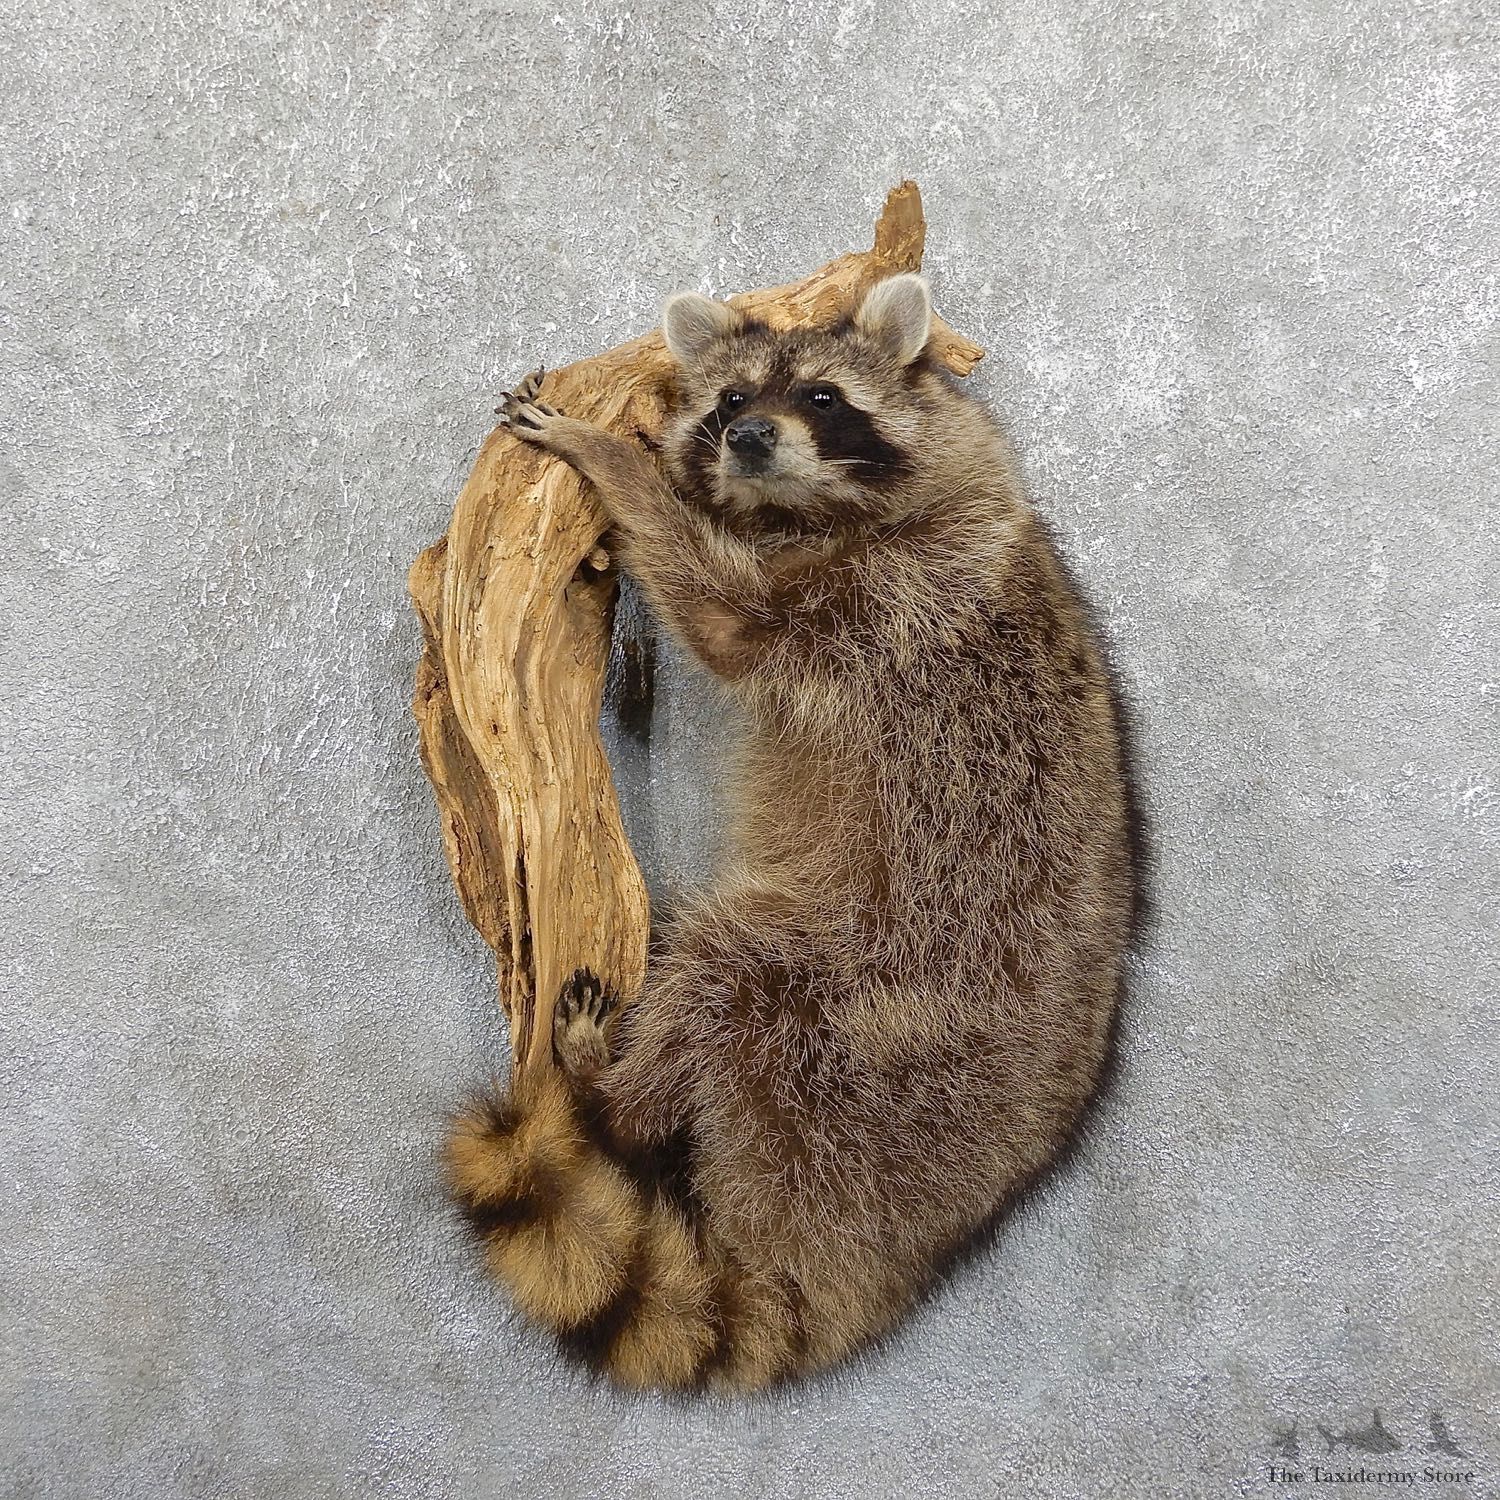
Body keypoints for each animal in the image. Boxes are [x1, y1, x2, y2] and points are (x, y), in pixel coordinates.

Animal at [452, 273, 1134, 1392]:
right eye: (731, 401)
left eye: (822, 397)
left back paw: (610, 1088)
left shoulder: (888, 597)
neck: (805, 513)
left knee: (725, 971)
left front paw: (618, 468)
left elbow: (719, 613)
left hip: (852, 1009)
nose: (749, 437)